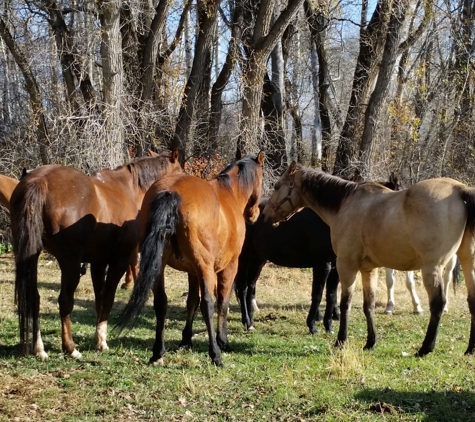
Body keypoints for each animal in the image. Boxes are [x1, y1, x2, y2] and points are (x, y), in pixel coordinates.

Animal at [11, 150, 183, 358]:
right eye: (181, 172)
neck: (129, 188)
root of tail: (40, 180)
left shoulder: (98, 263)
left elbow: (99, 300)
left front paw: (97, 338)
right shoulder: (119, 261)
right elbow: (107, 299)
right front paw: (101, 342)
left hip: (31, 256)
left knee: (34, 298)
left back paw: (39, 349)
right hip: (70, 263)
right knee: (65, 300)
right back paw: (70, 348)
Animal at [115, 151, 264, 366]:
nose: (254, 214)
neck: (229, 193)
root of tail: (171, 192)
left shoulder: (192, 271)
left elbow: (191, 300)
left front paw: (186, 338)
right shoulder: (228, 267)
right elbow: (222, 302)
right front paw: (223, 340)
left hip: (160, 266)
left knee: (161, 302)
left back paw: (158, 352)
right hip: (205, 267)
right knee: (208, 304)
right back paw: (215, 353)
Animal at [262, 162, 475, 356]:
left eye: (277, 186)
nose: (264, 214)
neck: (345, 203)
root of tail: (459, 190)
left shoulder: (346, 265)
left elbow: (344, 303)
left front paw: (341, 340)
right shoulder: (368, 269)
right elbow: (368, 305)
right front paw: (370, 342)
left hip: (432, 267)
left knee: (438, 303)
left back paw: (425, 348)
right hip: (467, 262)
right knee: (472, 299)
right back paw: (470, 349)